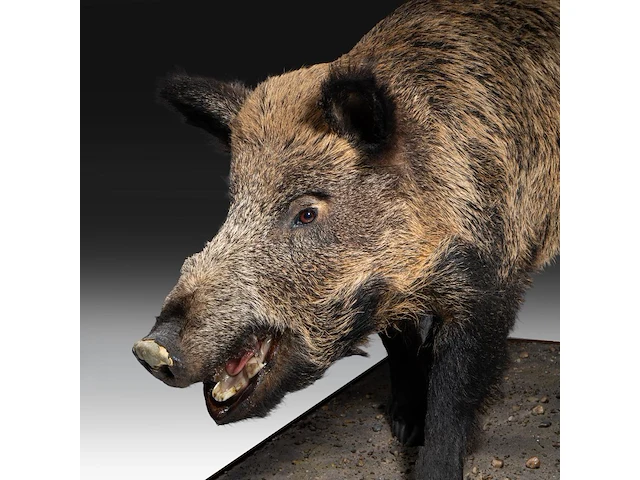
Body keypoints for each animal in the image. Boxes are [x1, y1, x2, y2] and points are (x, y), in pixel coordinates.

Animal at [132, 0, 559, 478]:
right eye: (234, 203)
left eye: (306, 212)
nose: (150, 347)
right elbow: (400, 349)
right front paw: (404, 429)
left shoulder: (490, 281)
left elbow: (454, 389)